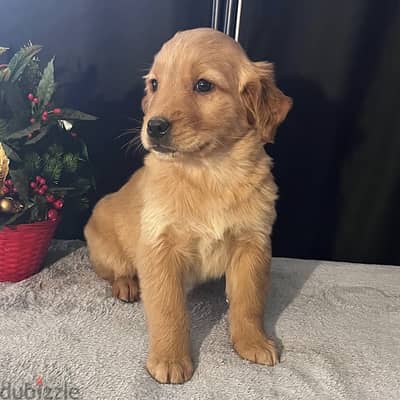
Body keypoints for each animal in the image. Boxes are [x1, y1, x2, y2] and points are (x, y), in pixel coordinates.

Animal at [83, 27, 290, 384]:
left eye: (203, 85)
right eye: (155, 84)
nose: (153, 126)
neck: (209, 171)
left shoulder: (253, 243)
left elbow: (249, 301)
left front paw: (252, 342)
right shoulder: (159, 248)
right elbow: (169, 311)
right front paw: (169, 359)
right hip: (106, 247)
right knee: (113, 271)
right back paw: (126, 285)